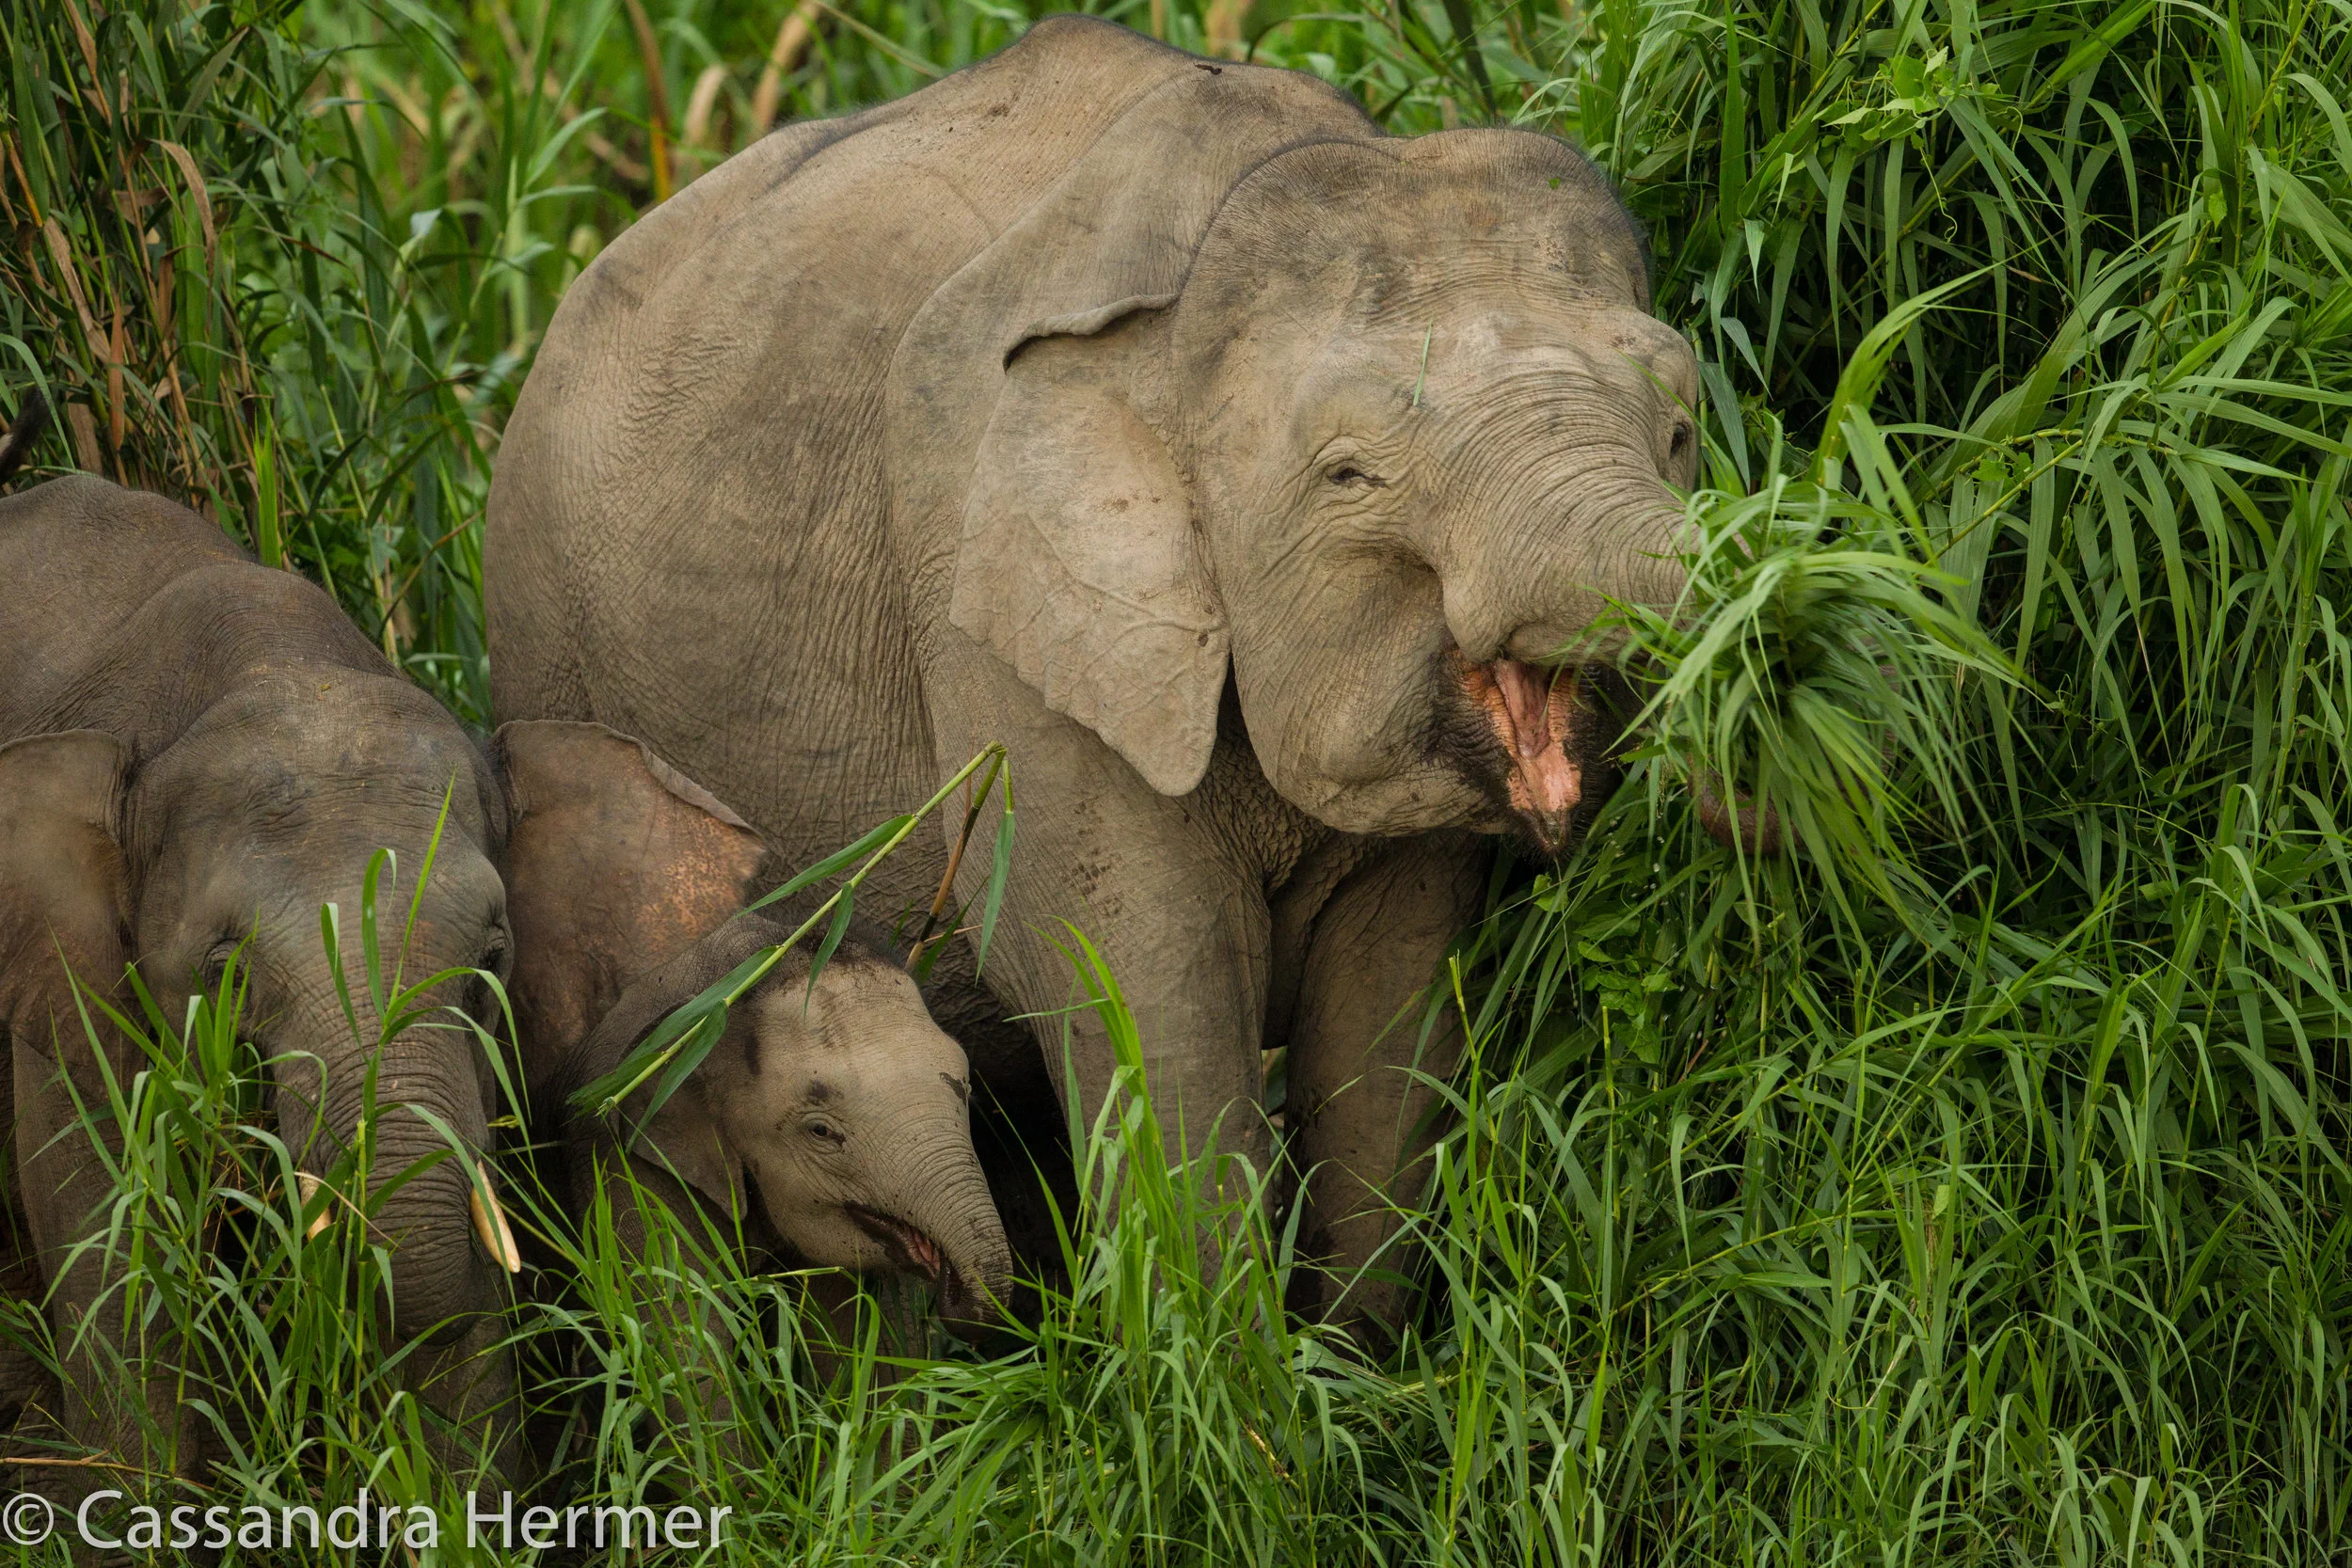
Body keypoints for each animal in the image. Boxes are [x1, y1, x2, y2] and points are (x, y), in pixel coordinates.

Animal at [484, 16, 1705, 1337]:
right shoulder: (992, 611)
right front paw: (1239, 1381)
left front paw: (1356, 1367)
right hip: (546, 634)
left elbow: (1388, 1012)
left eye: (1681, 428)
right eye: (1349, 476)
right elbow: (1150, 1003)